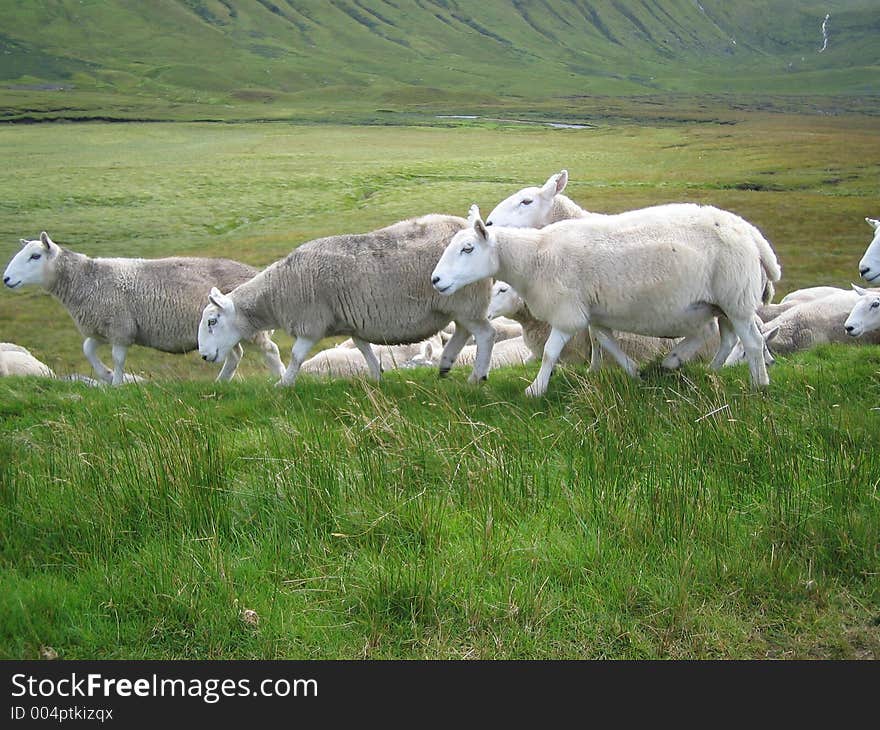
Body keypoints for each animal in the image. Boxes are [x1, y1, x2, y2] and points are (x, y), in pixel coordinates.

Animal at [2, 233, 286, 384]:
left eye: (35, 256)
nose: (6, 279)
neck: (86, 279)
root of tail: (255, 273)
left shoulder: (120, 328)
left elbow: (118, 358)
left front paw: (116, 384)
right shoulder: (102, 329)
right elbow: (87, 350)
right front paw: (105, 375)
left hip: (248, 329)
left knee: (270, 352)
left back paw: (282, 377)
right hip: (222, 333)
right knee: (234, 355)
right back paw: (221, 383)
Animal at [199, 212, 498, 386]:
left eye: (212, 321)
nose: (203, 355)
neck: (275, 293)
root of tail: (467, 225)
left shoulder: (311, 322)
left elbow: (296, 356)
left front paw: (283, 384)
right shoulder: (354, 322)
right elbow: (364, 349)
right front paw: (377, 376)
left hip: (466, 299)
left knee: (485, 334)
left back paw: (476, 376)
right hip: (459, 304)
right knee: (463, 332)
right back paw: (445, 364)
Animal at [430, 203, 780, 398]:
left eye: (467, 249)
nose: (435, 281)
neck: (535, 257)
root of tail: (751, 233)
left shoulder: (567, 310)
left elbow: (550, 353)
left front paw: (535, 389)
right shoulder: (593, 311)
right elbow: (606, 341)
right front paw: (634, 372)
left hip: (736, 297)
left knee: (750, 340)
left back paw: (759, 384)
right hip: (720, 302)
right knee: (725, 337)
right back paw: (699, 367)